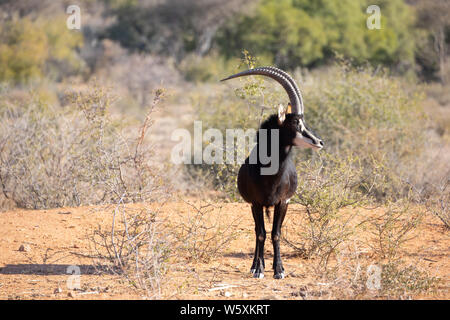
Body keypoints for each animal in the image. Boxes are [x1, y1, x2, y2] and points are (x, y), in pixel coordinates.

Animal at [221, 66, 324, 278]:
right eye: (296, 123)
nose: (319, 142)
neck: (270, 175)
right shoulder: (256, 203)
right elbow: (261, 233)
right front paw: (259, 269)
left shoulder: (283, 202)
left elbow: (276, 233)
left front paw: (279, 270)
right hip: (254, 206)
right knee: (257, 231)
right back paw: (255, 265)